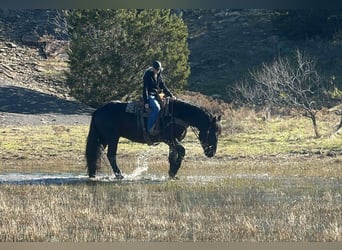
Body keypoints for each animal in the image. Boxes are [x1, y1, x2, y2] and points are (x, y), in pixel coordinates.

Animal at [85, 98, 222, 179]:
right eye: (211, 131)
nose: (212, 152)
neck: (177, 114)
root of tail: (98, 111)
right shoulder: (169, 139)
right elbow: (181, 151)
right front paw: (174, 172)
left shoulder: (172, 142)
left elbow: (172, 156)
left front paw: (171, 174)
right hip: (112, 138)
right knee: (111, 155)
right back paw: (119, 175)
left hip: (103, 138)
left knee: (95, 153)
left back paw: (93, 173)